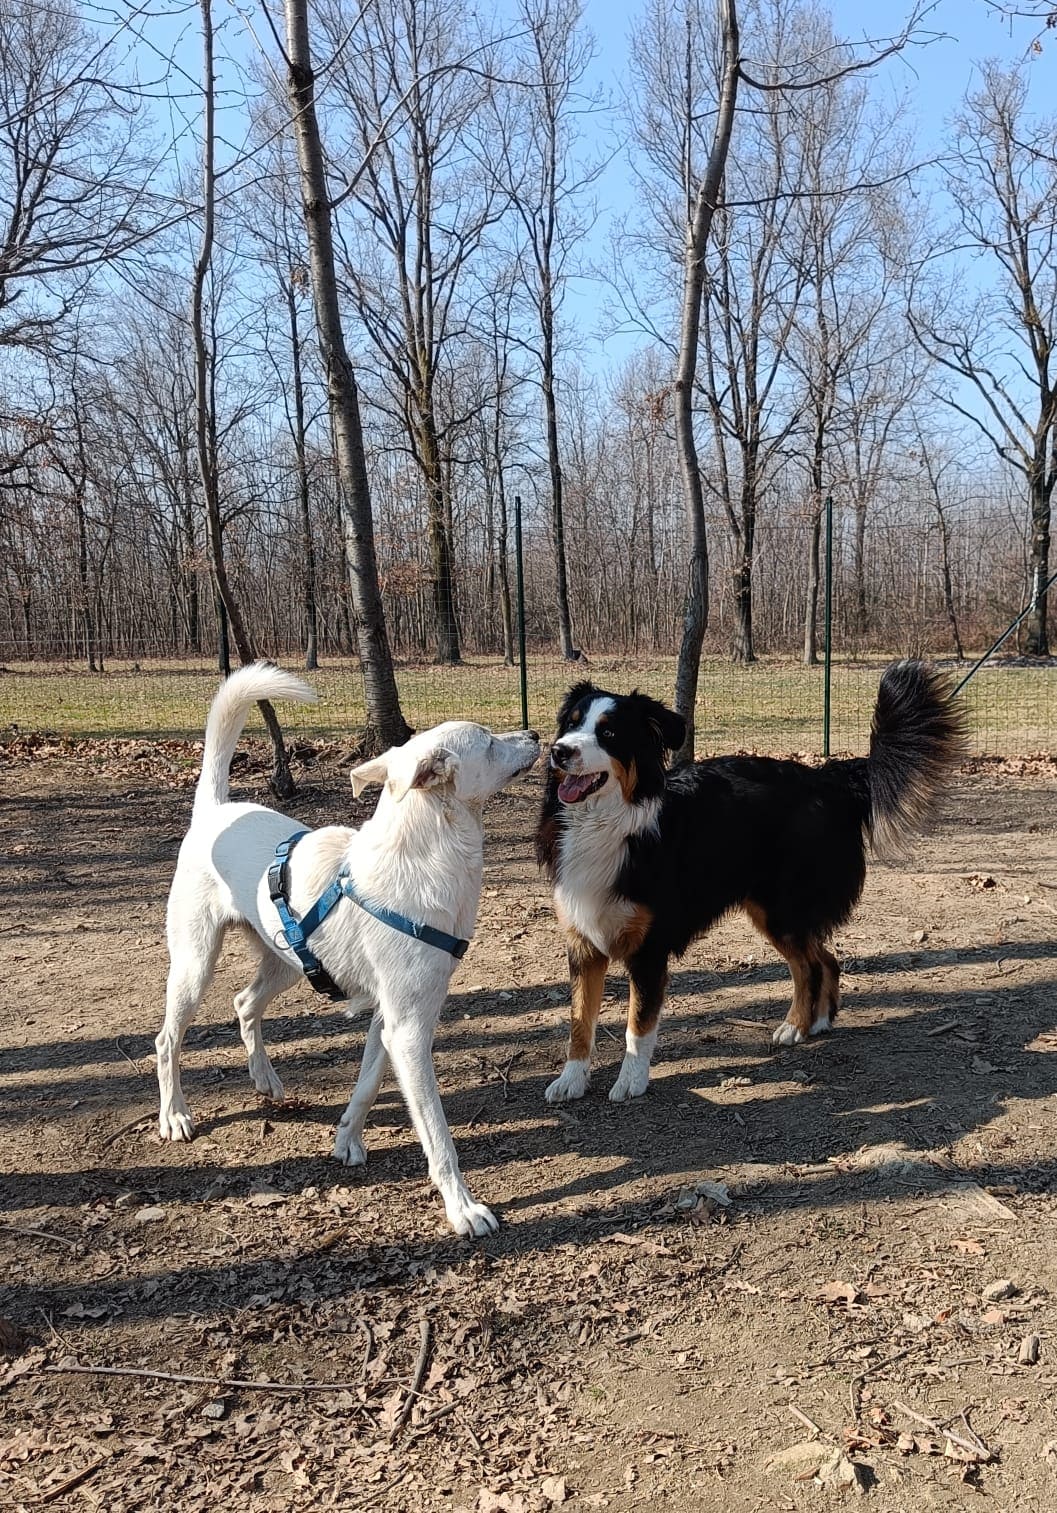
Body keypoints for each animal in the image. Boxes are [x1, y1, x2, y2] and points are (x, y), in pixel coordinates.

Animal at [159, 668, 538, 1234]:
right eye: (490, 742)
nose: (536, 736)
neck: (427, 859)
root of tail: (214, 811)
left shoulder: (389, 1020)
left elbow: (366, 1085)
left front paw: (346, 1139)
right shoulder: (410, 1029)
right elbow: (437, 1133)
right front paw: (463, 1208)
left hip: (288, 962)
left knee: (244, 1004)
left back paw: (264, 1078)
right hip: (194, 963)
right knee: (168, 1040)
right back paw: (175, 1115)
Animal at [541, 662, 961, 1101]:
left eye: (608, 733)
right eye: (570, 725)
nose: (559, 751)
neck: (606, 824)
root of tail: (830, 778)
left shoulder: (649, 950)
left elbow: (637, 1026)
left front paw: (630, 1081)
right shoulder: (583, 943)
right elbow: (579, 1020)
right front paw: (571, 1079)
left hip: (782, 909)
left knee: (809, 965)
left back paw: (796, 1025)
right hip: (776, 911)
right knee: (823, 959)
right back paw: (816, 1021)